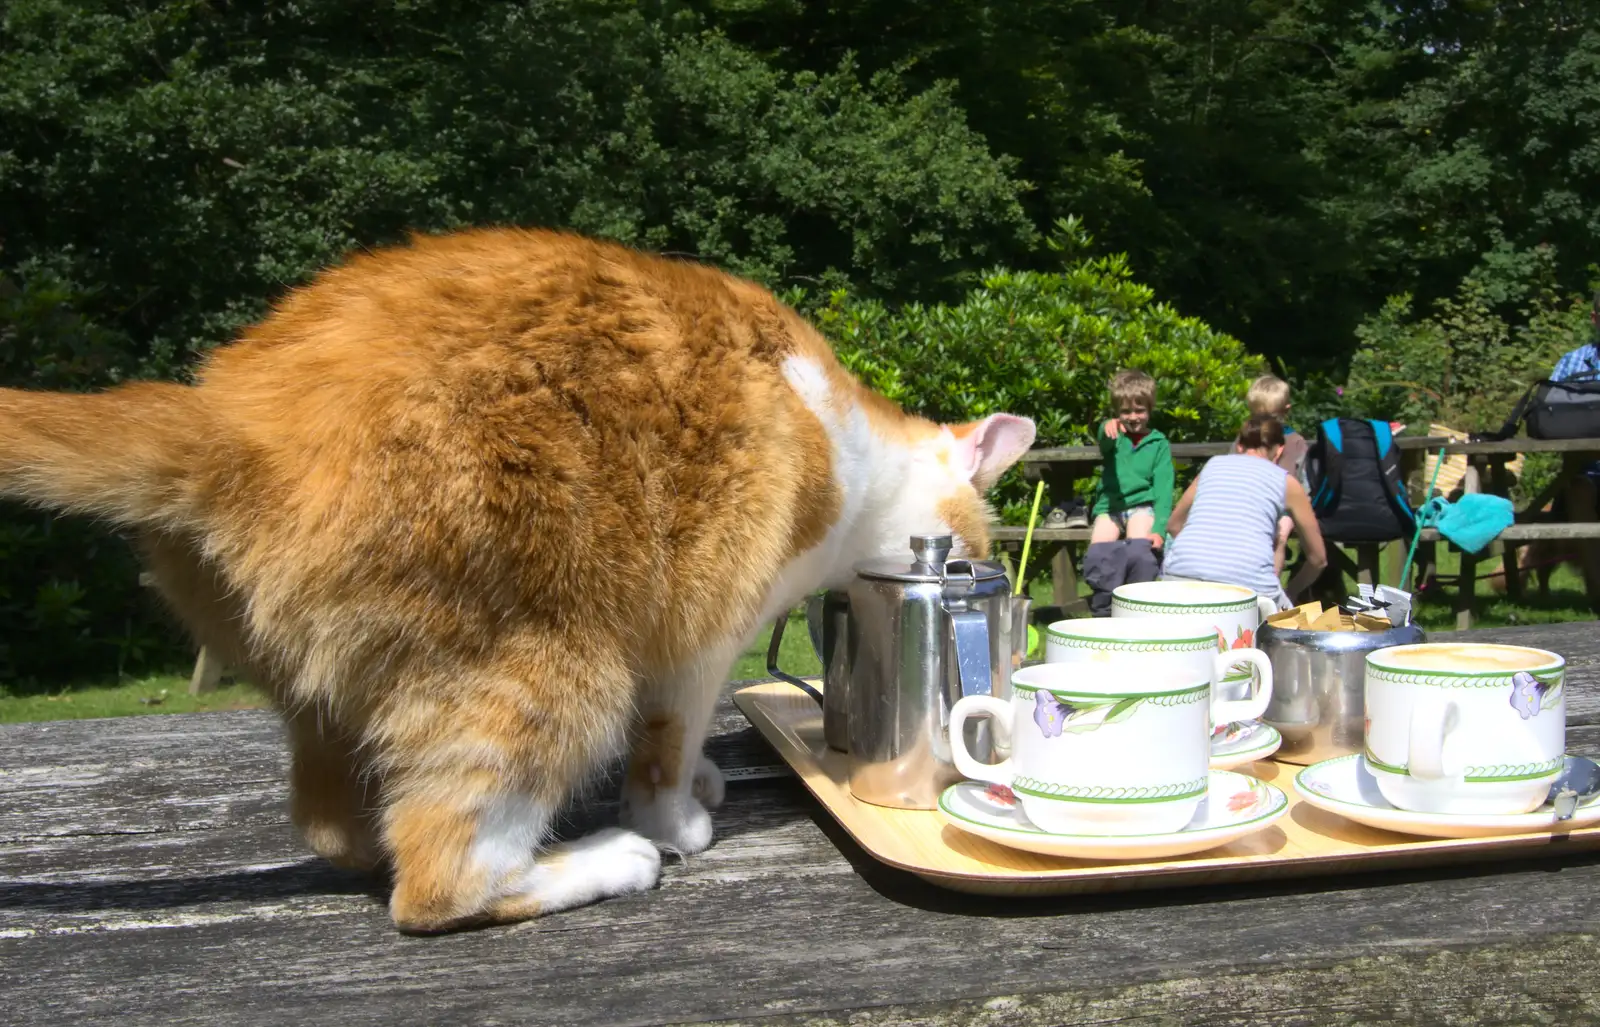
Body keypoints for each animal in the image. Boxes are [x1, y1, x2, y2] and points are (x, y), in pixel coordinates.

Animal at [0, 230, 1030, 927]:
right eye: (967, 545)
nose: (978, 558)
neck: (851, 452)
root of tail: (233, 415)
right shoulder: (703, 630)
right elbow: (666, 741)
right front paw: (675, 817)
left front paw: (702, 780)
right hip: (556, 663)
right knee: (440, 877)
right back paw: (606, 859)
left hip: (327, 693)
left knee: (339, 827)